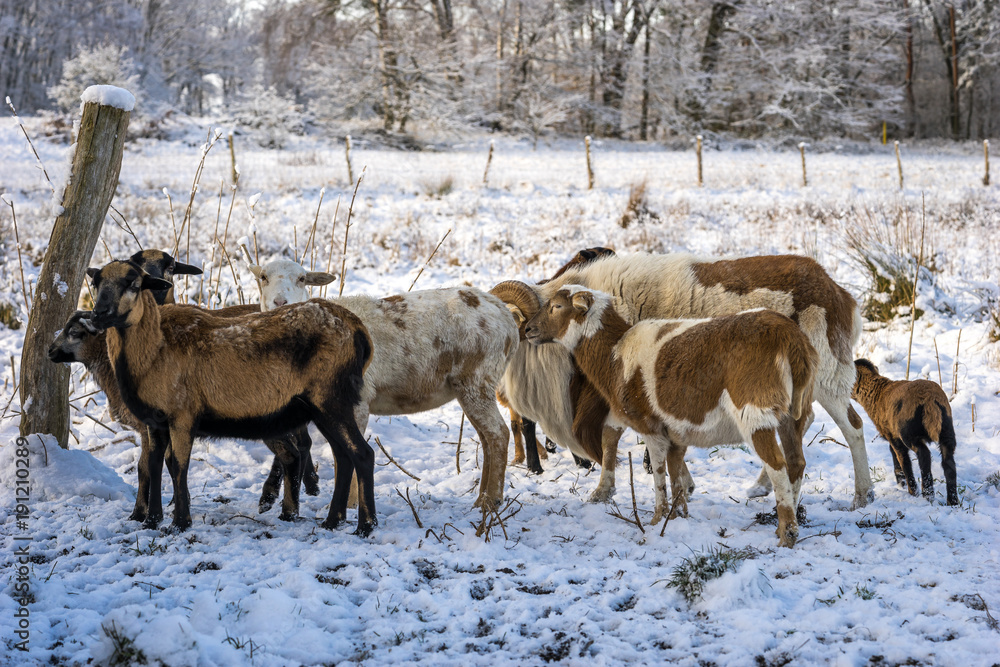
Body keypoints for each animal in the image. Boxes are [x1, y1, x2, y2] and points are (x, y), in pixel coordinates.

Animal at [86, 259, 377, 534]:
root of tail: (359, 329)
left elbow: (178, 465)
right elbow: (155, 464)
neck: (153, 351)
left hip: (332, 398)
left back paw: (365, 526)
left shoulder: (183, 414)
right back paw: (332, 521)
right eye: (96, 283)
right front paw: (151, 521)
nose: (98, 314)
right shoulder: (154, 420)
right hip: (321, 407)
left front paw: (180, 523)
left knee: (363, 454)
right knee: (342, 456)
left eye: (134, 284)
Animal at [247, 258, 519, 511]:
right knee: (486, 438)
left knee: (498, 434)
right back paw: (482, 498)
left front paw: (349, 505)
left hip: (477, 379)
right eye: (263, 277)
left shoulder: (356, 401)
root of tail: (506, 316)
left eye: (302, 279)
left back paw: (490, 501)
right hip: (472, 386)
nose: (281, 303)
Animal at [524, 286, 817, 547]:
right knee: (796, 462)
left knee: (777, 465)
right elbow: (675, 474)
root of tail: (790, 337)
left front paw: (657, 519)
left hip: (755, 410)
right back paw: (787, 518)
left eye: (556, 306)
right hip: (794, 412)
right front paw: (678, 516)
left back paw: (787, 533)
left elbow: (658, 473)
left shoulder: (649, 426)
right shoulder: (677, 431)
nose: (527, 329)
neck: (614, 353)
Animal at [525, 250, 871, 510]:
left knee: (852, 426)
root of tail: (839, 292)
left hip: (827, 374)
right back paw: (763, 486)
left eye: (556, 307)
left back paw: (862, 494)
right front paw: (605, 490)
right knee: (803, 422)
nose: (527, 330)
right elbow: (614, 434)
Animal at [852, 359, 958, 505]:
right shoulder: (892, 434)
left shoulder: (893, 436)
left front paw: (906, 487)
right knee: (949, 463)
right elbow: (894, 455)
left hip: (910, 433)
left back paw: (925, 495)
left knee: (923, 456)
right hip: (947, 430)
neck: (876, 392)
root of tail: (930, 400)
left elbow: (902, 459)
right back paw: (952, 501)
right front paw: (900, 483)